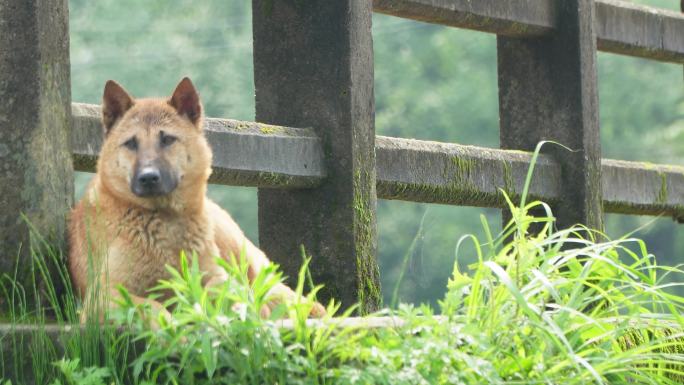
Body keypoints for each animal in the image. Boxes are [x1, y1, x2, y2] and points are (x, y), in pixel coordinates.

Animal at [69, 76, 326, 320]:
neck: (164, 220)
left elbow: (222, 287)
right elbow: (150, 306)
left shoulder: (217, 274)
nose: (148, 178)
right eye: (131, 143)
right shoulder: (102, 297)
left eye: (167, 139)